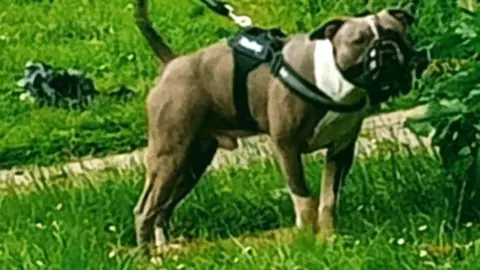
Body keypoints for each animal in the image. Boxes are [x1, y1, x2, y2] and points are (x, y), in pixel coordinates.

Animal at [132, 0, 428, 252]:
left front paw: (329, 237)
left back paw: (165, 249)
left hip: (192, 163)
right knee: (146, 208)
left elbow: (328, 198)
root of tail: (172, 62)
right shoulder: (287, 146)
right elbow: (303, 198)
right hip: (170, 155)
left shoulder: (341, 150)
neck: (334, 81)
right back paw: (148, 255)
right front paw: (307, 238)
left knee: (163, 207)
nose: (387, 48)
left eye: (397, 34)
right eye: (359, 42)